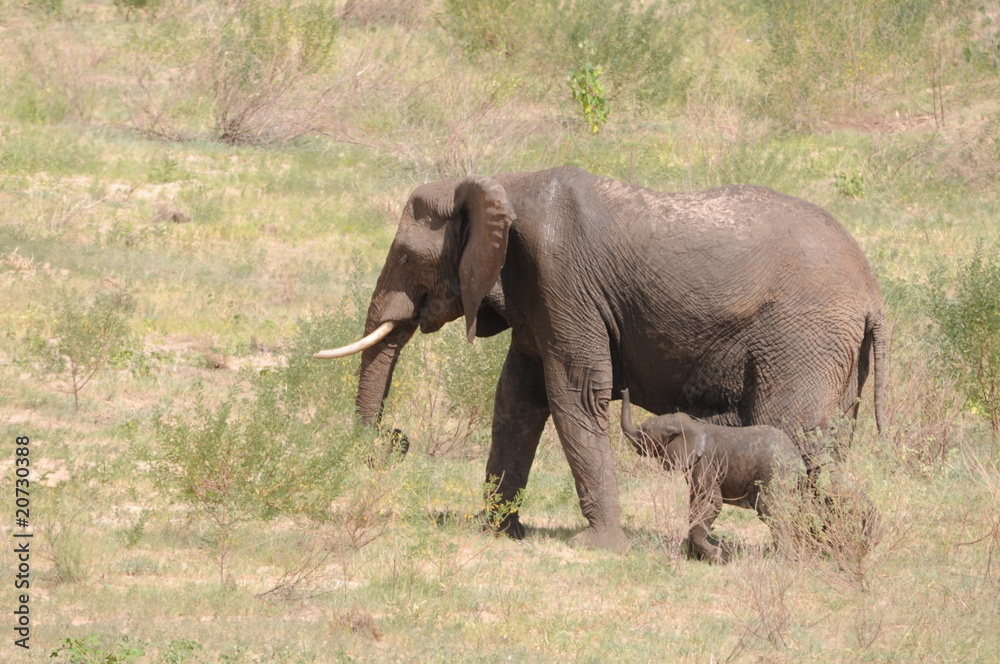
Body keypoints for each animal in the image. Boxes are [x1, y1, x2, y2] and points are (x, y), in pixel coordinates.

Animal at [620, 388, 805, 562]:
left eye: (645, 432)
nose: (623, 390)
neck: (691, 425)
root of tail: (798, 459)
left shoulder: (705, 465)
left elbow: (710, 502)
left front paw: (716, 555)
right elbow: (694, 503)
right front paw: (694, 558)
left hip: (775, 472)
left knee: (770, 508)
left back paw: (783, 560)